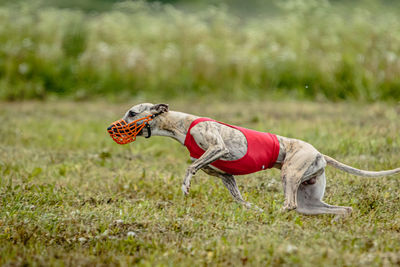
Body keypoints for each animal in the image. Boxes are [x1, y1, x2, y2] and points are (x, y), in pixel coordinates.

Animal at [107, 102, 400, 216]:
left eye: (132, 112)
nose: (111, 128)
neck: (181, 124)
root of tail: (318, 152)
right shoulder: (224, 174)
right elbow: (237, 196)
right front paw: (251, 208)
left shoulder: (218, 147)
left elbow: (191, 166)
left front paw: (185, 185)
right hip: (310, 198)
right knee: (339, 209)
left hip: (290, 174)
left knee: (290, 204)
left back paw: (276, 213)